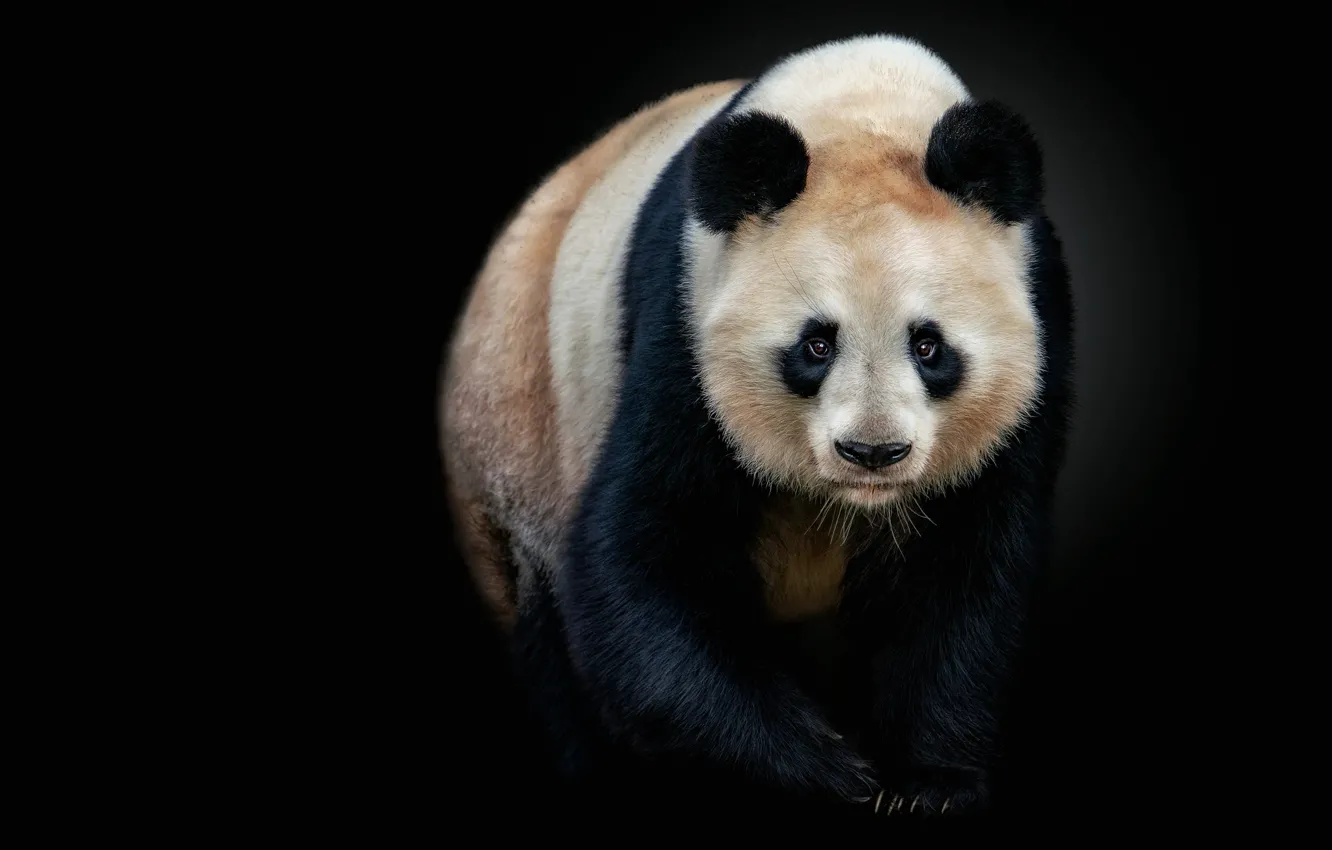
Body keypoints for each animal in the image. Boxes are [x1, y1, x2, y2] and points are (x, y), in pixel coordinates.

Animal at [440, 34, 1074, 818]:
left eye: (929, 346)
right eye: (817, 344)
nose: (873, 452)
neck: (866, 109)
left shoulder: (1038, 325)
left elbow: (967, 574)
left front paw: (927, 784)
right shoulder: (682, 328)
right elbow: (641, 556)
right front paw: (828, 771)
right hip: (515, 445)